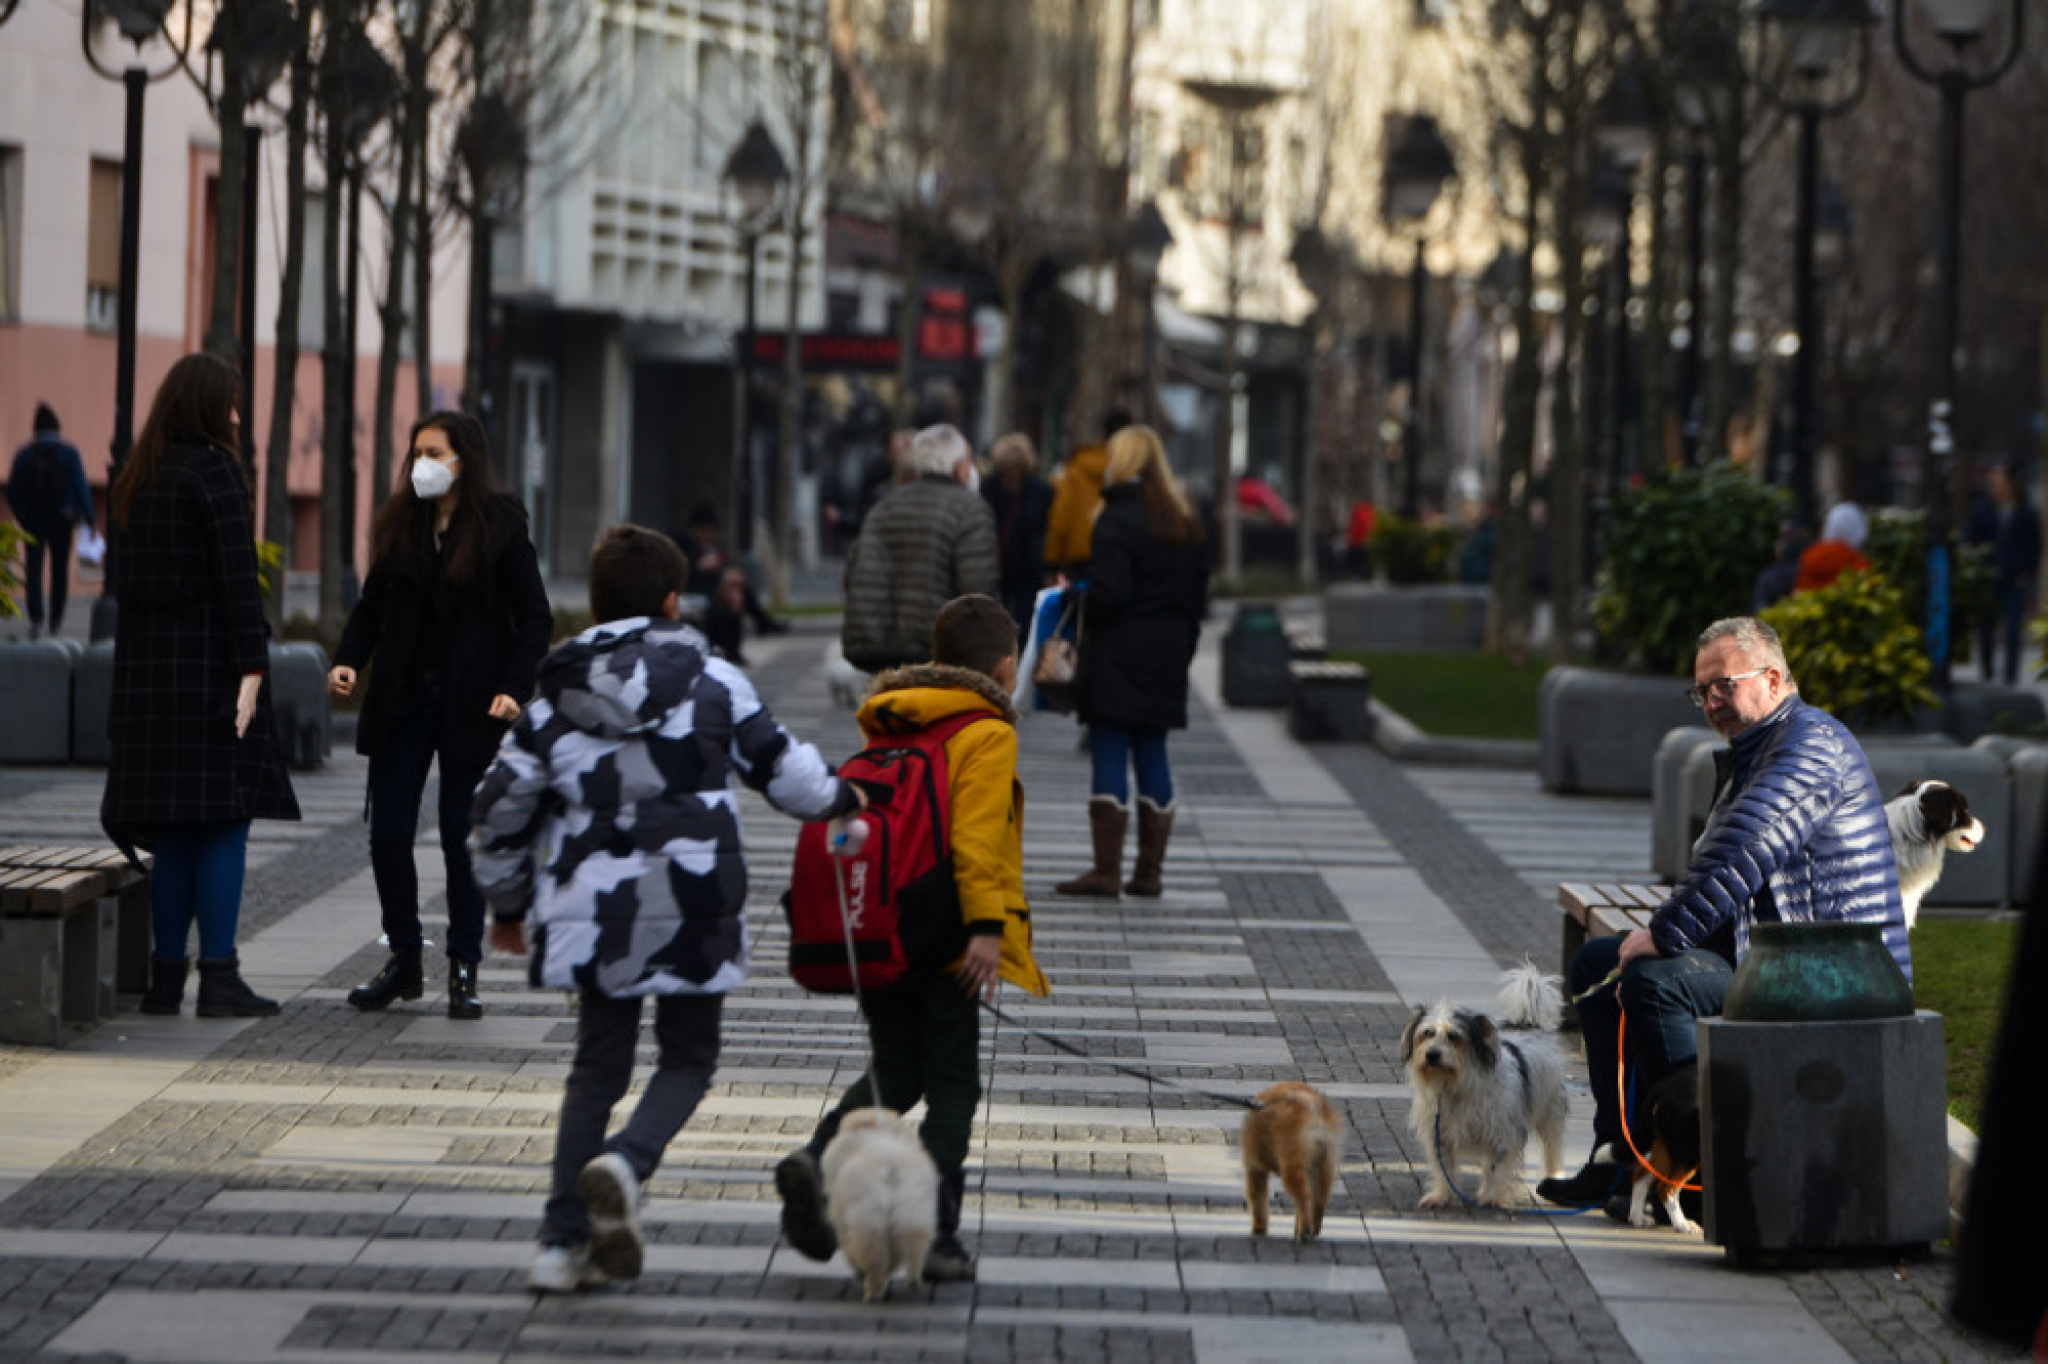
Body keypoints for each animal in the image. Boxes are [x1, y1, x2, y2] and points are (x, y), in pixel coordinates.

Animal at [819, 1105, 937, 1294]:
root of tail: (890, 1168)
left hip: (868, 1223)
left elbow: (848, 1248)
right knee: (912, 1252)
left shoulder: (842, 1221)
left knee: (874, 1259)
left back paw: (871, 1291)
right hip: (914, 1217)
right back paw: (913, 1281)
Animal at [1409, 995, 1564, 1204]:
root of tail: (1527, 1025)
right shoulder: (1438, 1133)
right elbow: (1444, 1168)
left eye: (1453, 1036)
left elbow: (1495, 1170)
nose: (1432, 1055)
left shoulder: (1502, 1134)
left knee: (1552, 1150)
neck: (1457, 1086)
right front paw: (1441, 1195)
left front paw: (1490, 1196)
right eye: (1427, 1033)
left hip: (1550, 1114)